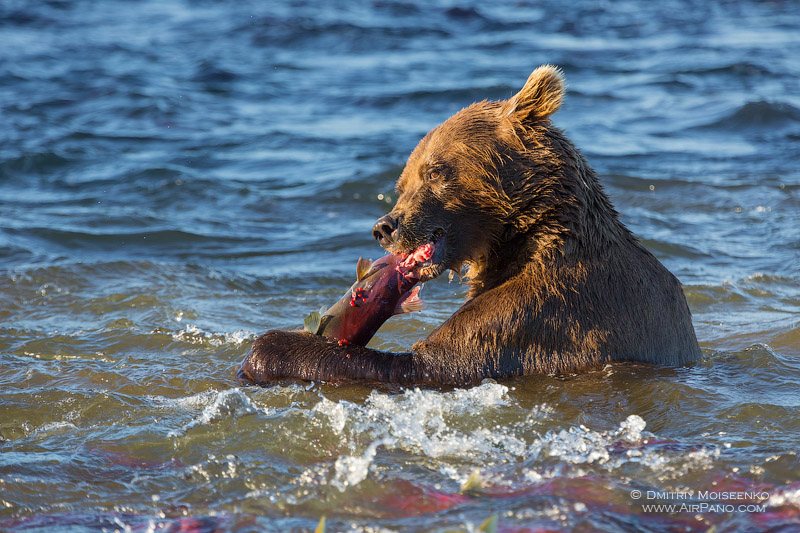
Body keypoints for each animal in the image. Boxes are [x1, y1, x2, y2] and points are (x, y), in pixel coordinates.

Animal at [239, 64, 700, 384]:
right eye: (402, 183)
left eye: (435, 171)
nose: (385, 227)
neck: (525, 239)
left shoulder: (540, 314)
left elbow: (430, 363)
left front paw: (268, 348)